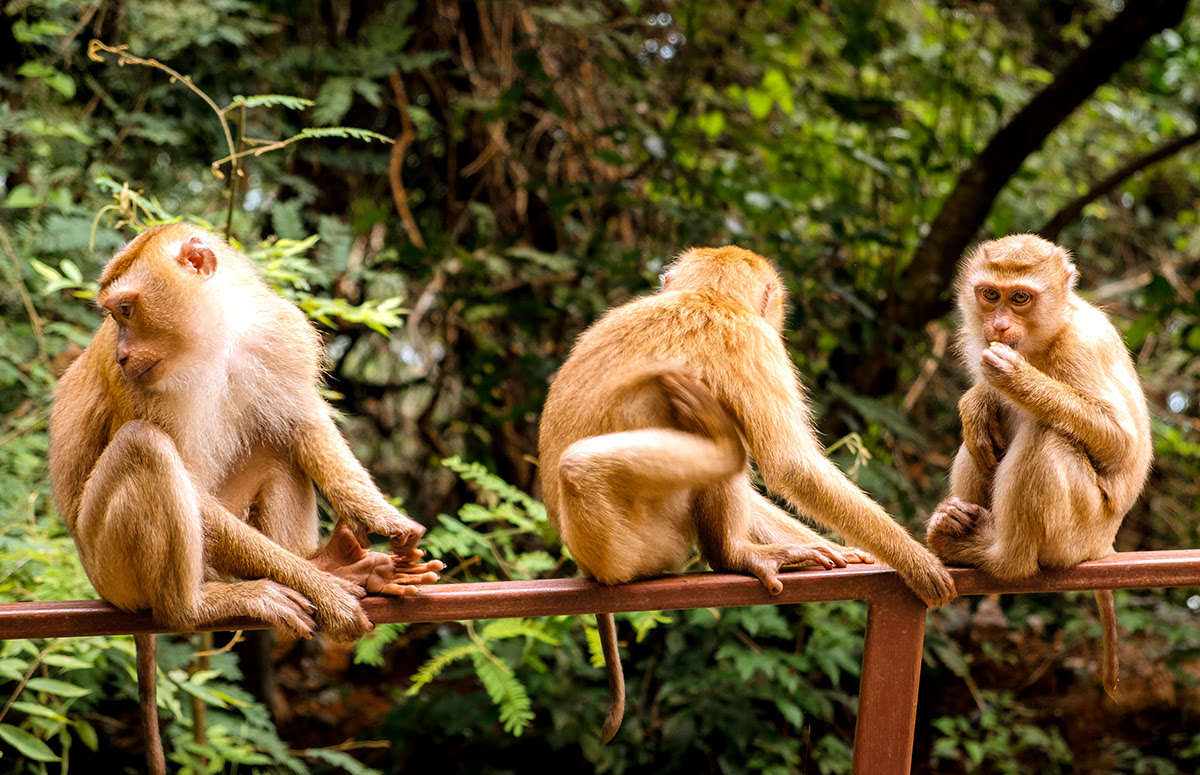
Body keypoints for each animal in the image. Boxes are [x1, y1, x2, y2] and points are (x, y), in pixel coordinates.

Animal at [49, 223, 446, 772]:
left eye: (125, 310)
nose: (125, 354)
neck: (214, 337)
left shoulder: (282, 330)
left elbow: (303, 425)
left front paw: (383, 517)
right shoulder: (134, 384)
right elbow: (191, 487)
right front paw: (325, 593)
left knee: (276, 445)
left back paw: (333, 564)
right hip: (112, 567)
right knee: (144, 446)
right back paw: (195, 607)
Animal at [537, 245, 955, 743]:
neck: (706, 297)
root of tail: (588, 562)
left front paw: (846, 550)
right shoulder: (754, 342)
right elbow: (791, 465)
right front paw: (915, 561)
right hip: (635, 543)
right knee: (602, 465)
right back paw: (732, 553)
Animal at [926, 233, 1152, 700]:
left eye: (1020, 298)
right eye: (990, 294)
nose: (998, 326)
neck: (1046, 339)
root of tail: (1104, 545)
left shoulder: (1082, 347)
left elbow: (1122, 443)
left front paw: (1016, 380)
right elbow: (983, 412)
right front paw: (976, 402)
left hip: (1078, 533)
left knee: (1047, 436)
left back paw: (999, 557)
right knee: (981, 444)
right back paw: (954, 525)